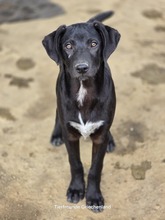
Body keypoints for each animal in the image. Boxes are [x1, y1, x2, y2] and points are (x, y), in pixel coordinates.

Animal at [42, 11, 120, 212]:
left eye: (94, 44)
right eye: (68, 46)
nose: (82, 68)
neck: (84, 90)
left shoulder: (99, 138)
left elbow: (95, 168)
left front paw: (93, 197)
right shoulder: (70, 135)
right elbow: (75, 164)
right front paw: (77, 189)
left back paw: (111, 139)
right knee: (57, 114)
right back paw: (56, 134)